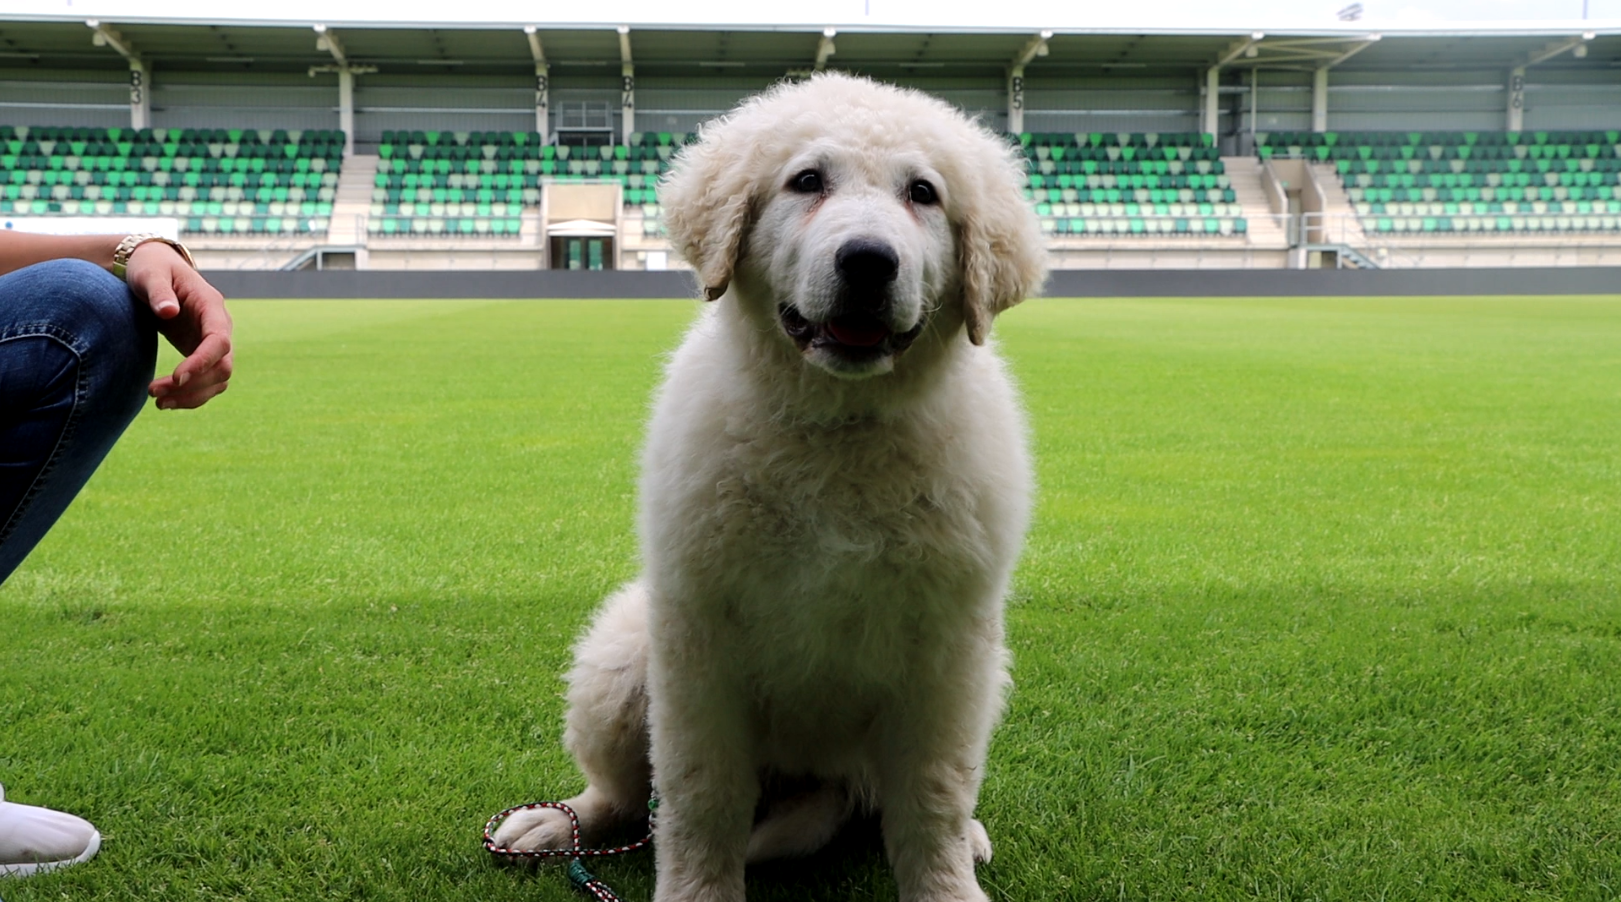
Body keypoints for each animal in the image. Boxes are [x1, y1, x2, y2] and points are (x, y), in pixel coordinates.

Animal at [492, 72, 1043, 902]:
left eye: (922, 193)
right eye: (806, 181)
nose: (868, 261)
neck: (838, 429)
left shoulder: (948, 650)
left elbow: (933, 796)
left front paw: (943, 886)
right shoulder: (699, 639)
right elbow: (700, 796)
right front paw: (697, 892)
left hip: (976, 680)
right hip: (621, 658)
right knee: (625, 795)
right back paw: (557, 825)